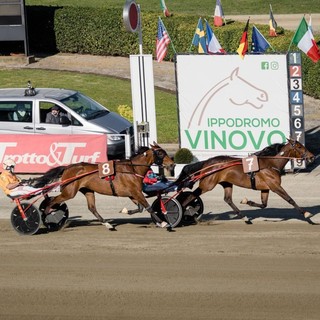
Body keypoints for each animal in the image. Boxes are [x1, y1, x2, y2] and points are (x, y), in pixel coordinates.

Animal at [31, 142, 175, 230]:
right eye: (161, 153)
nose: (172, 164)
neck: (132, 169)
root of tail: (68, 167)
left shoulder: (132, 194)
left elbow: (140, 208)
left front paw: (125, 211)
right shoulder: (135, 192)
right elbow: (148, 207)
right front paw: (164, 222)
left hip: (88, 190)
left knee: (92, 208)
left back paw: (107, 224)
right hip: (69, 191)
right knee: (53, 201)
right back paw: (48, 216)